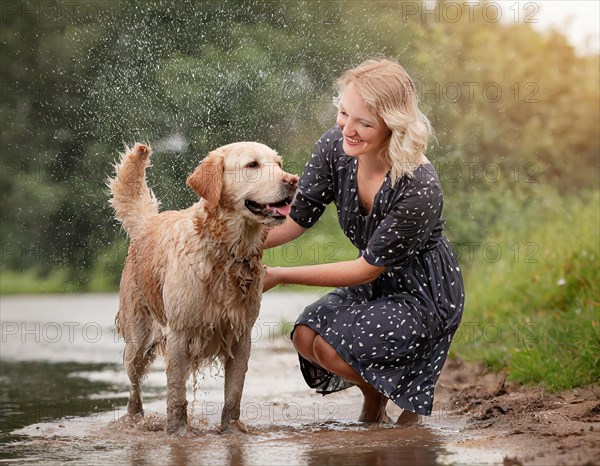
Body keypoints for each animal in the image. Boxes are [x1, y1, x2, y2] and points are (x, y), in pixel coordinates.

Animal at [108, 142, 298, 434]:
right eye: (252, 165)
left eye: (278, 164)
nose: (293, 181)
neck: (227, 253)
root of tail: (148, 223)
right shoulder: (179, 333)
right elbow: (176, 394)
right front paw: (178, 431)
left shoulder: (241, 336)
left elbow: (233, 394)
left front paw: (232, 430)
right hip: (138, 339)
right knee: (133, 386)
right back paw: (135, 419)